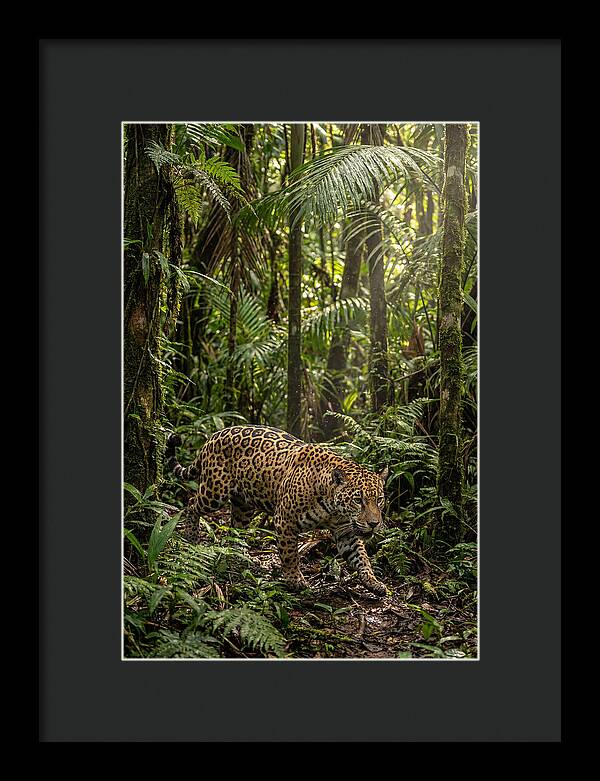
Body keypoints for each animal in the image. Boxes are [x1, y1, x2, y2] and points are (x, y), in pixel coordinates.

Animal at [166, 425, 390, 597]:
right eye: (358, 500)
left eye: (379, 500)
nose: (374, 524)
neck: (333, 507)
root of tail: (213, 436)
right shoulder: (285, 521)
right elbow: (290, 554)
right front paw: (295, 581)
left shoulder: (346, 531)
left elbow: (361, 557)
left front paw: (374, 583)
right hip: (214, 491)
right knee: (191, 504)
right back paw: (191, 537)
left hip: (243, 505)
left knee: (235, 527)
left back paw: (238, 555)